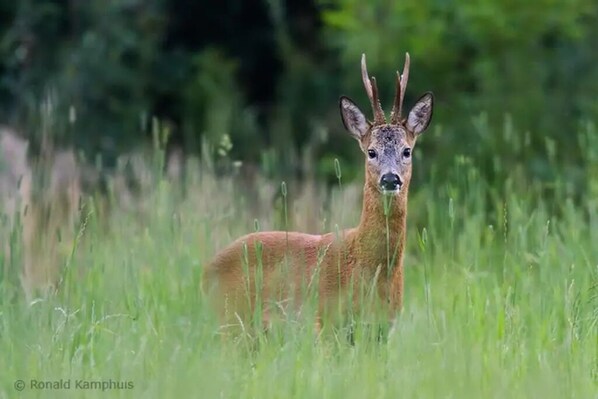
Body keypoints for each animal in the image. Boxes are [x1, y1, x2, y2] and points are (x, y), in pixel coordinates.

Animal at [204, 54, 434, 334]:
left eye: (407, 150)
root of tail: (205, 272)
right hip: (231, 322)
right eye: (371, 151)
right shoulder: (326, 322)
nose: (390, 179)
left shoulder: (383, 328)